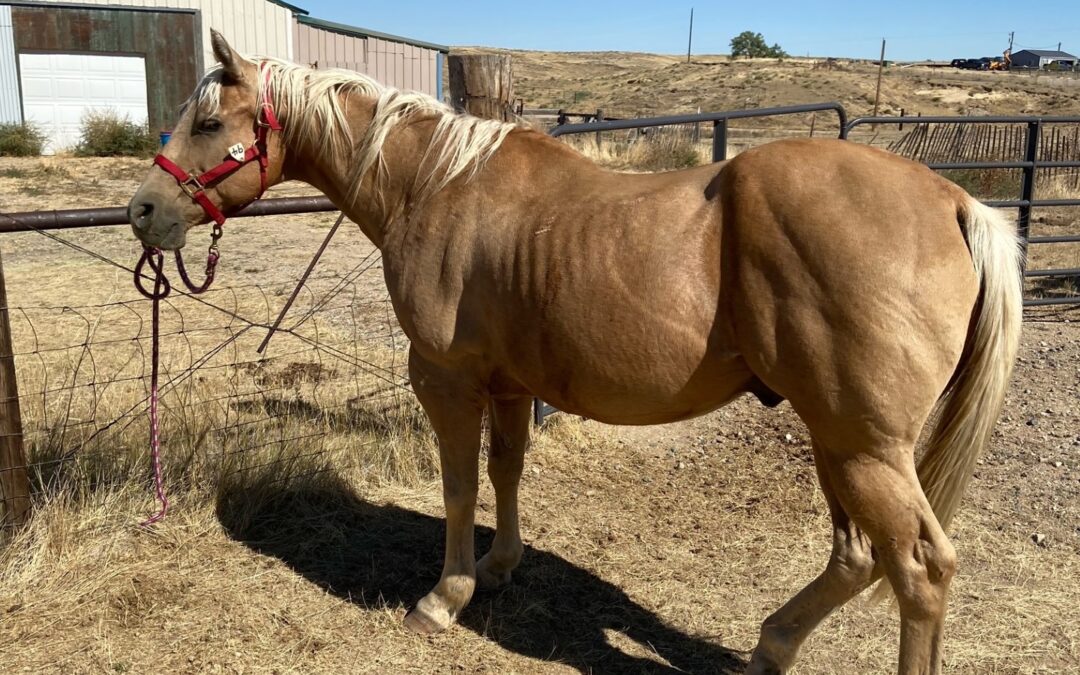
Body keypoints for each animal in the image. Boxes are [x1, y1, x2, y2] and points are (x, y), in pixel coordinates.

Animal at [128, 32, 1019, 673]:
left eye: (210, 123)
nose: (144, 210)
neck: (437, 186)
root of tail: (954, 200)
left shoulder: (446, 380)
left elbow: (458, 486)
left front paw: (445, 597)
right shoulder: (510, 383)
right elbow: (506, 471)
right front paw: (499, 566)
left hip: (862, 444)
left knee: (918, 568)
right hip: (838, 437)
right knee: (857, 556)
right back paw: (770, 646)